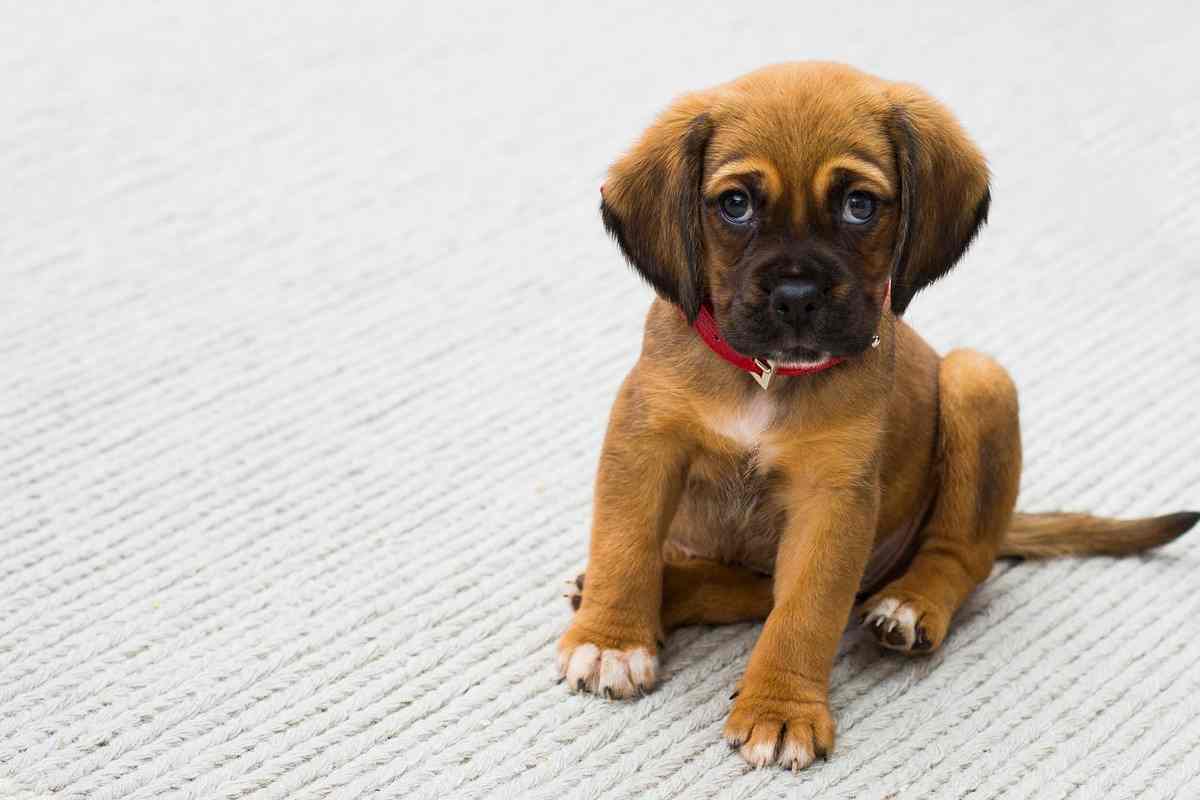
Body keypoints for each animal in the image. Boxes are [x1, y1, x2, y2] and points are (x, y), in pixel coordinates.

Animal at [554, 64, 1200, 777]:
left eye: (859, 205)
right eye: (735, 204)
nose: (797, 297)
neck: (767, 377)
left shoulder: (832, 500)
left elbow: (805, 612)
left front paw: (780, 709)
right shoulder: (645, 442)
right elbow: (625, 545)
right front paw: (613, 639)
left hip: (978, 380)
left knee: (959, 556)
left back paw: (912, 603)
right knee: (744, 589)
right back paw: (663, 588)